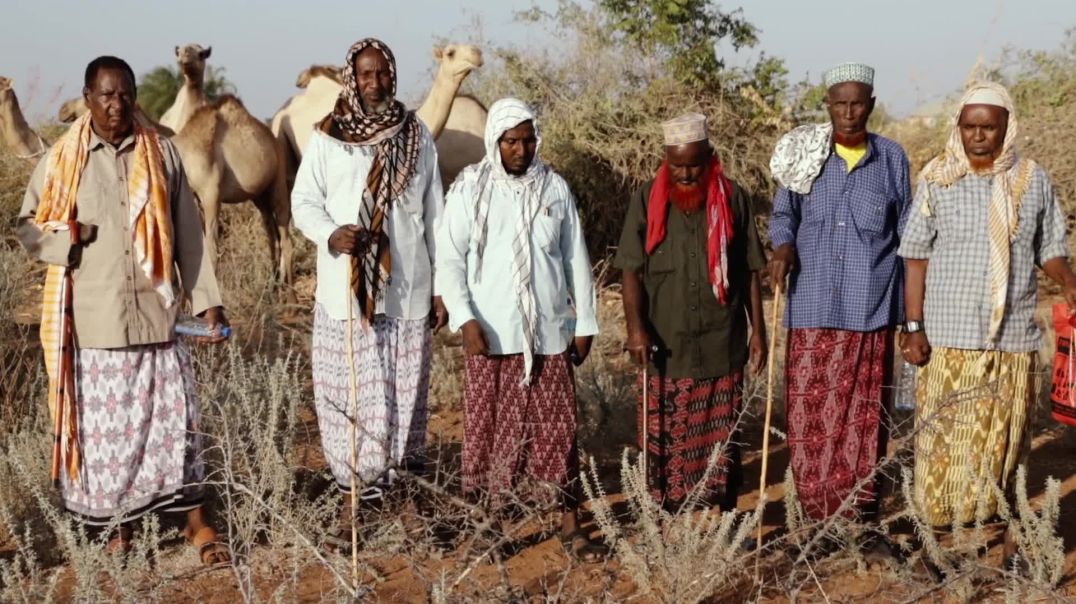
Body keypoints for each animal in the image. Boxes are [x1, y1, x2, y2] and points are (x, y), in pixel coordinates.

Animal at [171, 95, 292, 286]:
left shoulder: (211, 193)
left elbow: (211, 247)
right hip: (259, 195)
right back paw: (273, 281)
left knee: (284, 228)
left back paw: (287, 287)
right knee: (270, 229)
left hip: (278, 178)